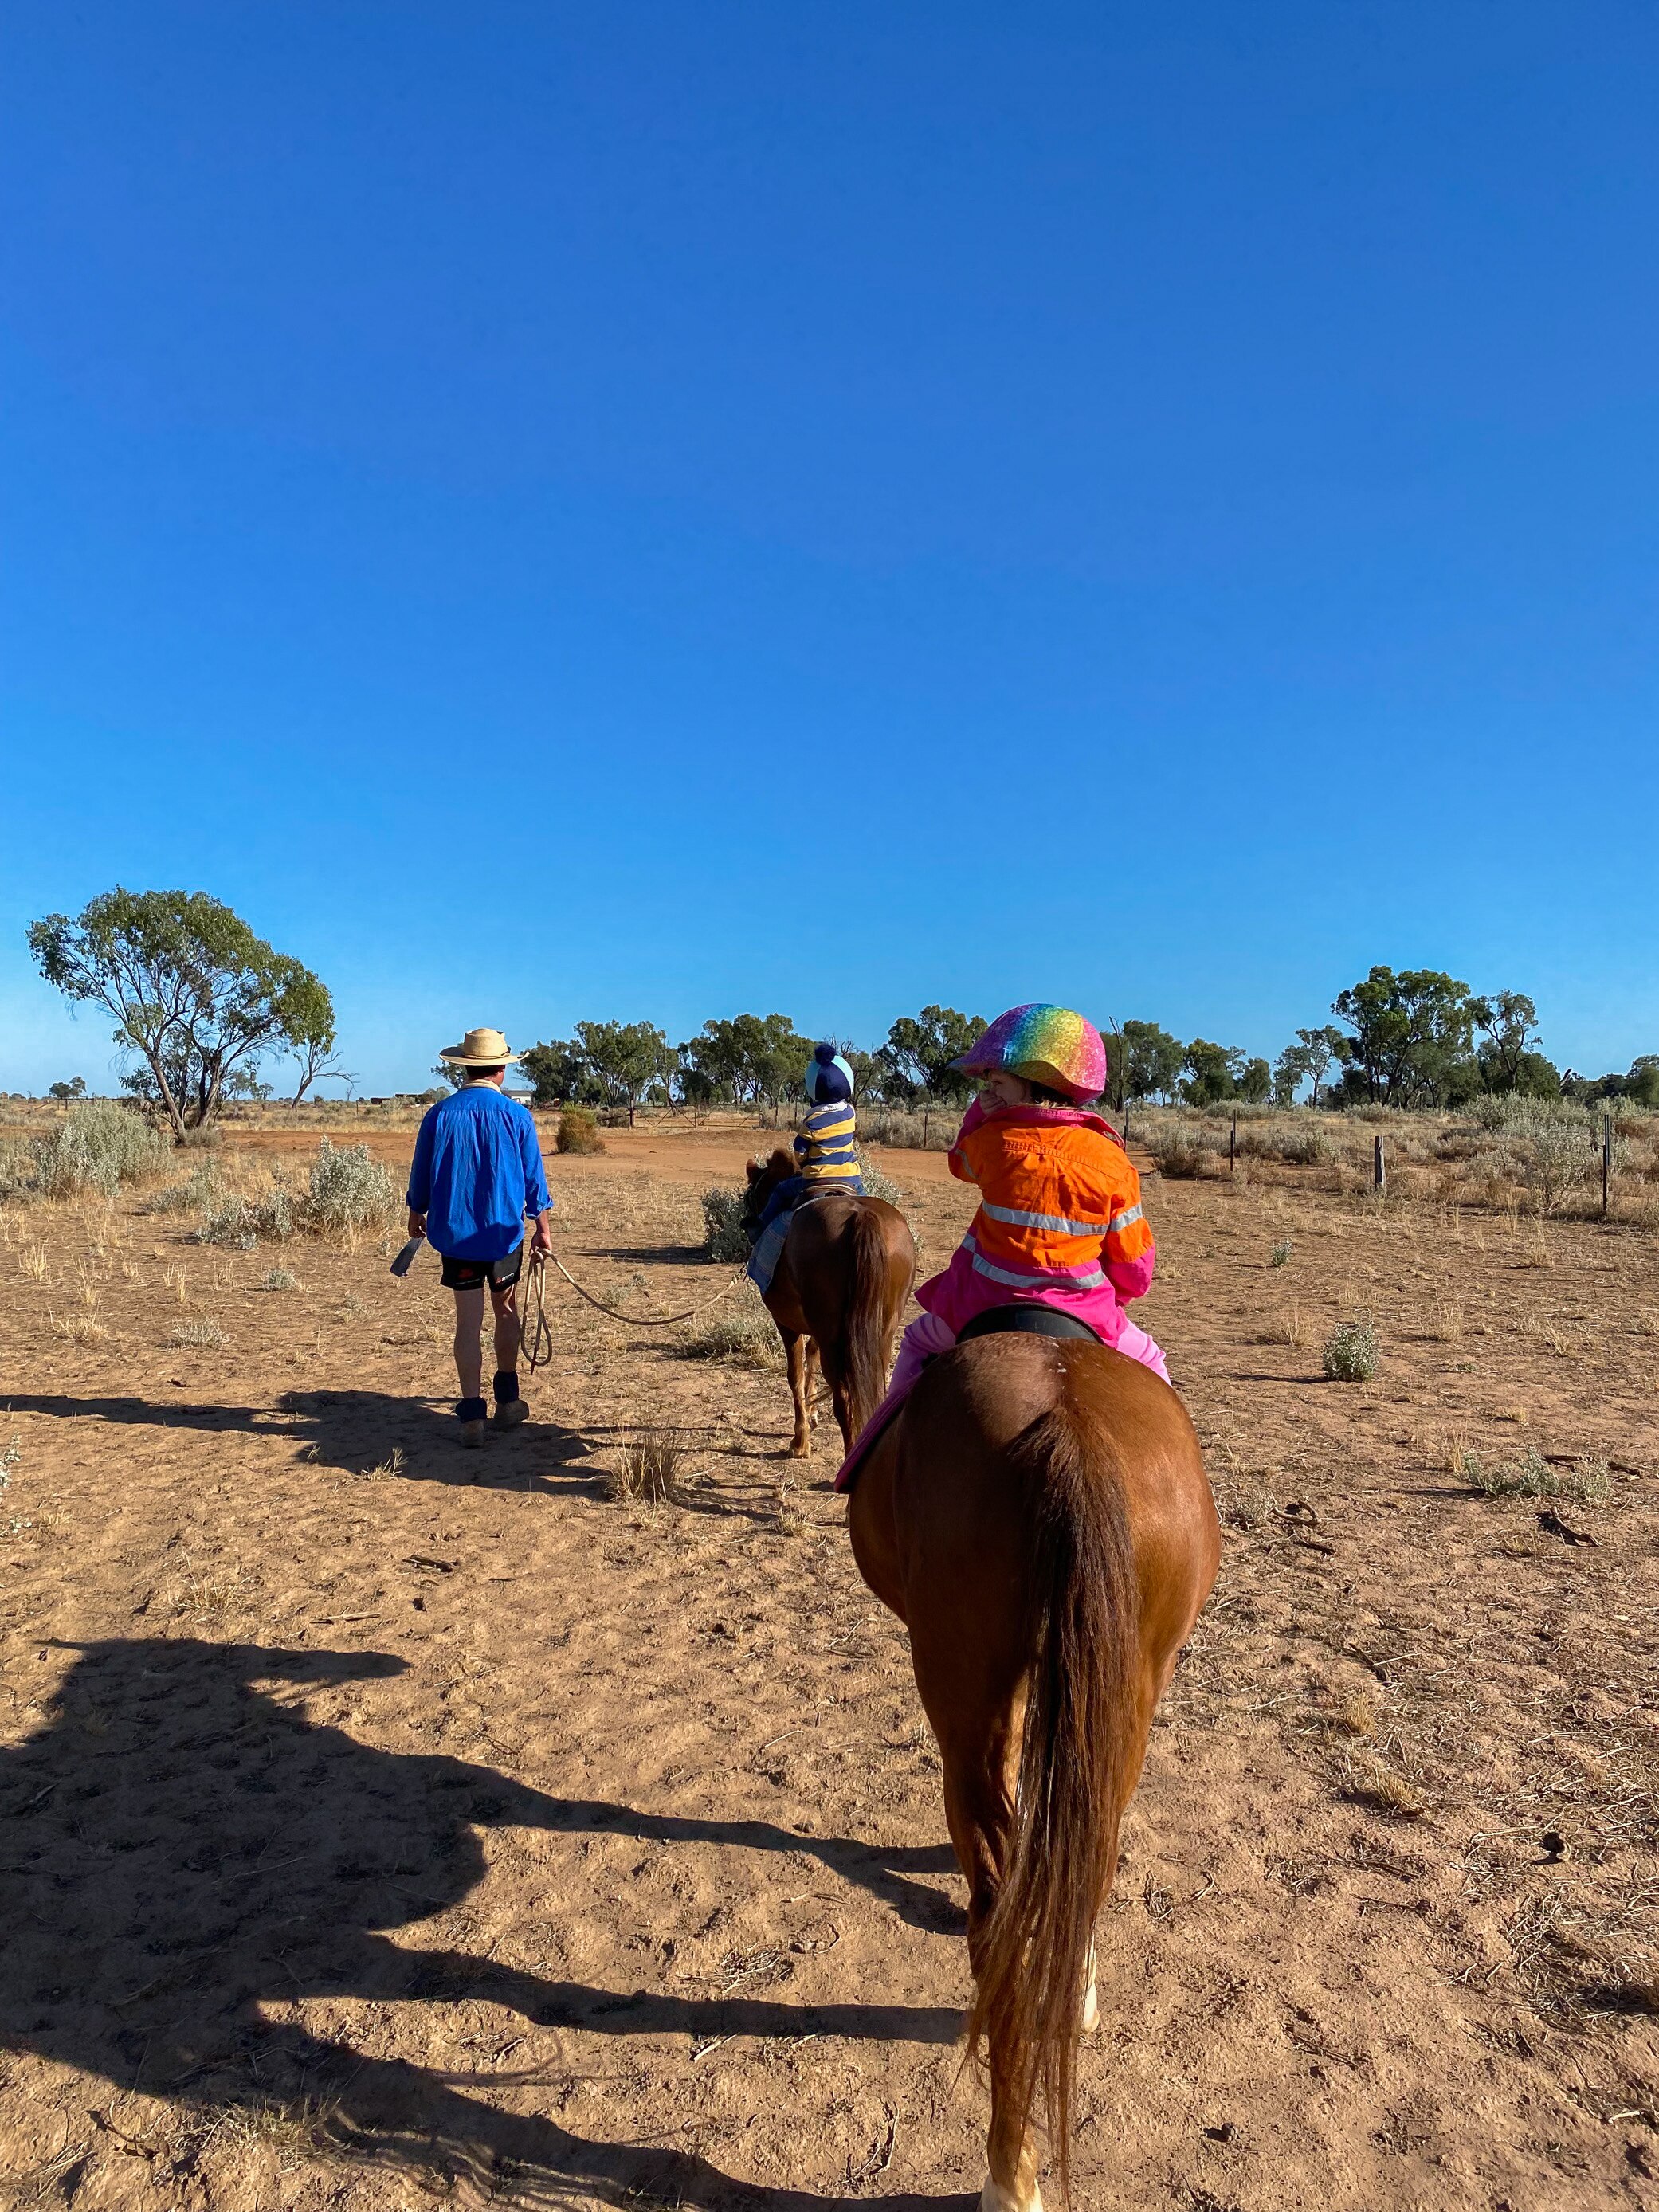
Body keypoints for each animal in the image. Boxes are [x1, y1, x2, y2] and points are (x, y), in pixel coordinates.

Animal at [742, 1148, 916, 1458]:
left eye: (754, 1193)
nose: (747, 1224)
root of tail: (862, 1218)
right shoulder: (818, 1330)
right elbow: (811, 1356)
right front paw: (812, 1414)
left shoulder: (786, 1323)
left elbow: (795, 1375)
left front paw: (800, 1441)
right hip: (880, 1331)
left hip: (835, 1337)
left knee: (845, 1399)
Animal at [846, 1322, 1220, 2211]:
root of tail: (1066, 1425)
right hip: (1131, 1688)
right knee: (1087, 1868)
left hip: (964, 1687)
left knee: (998, 1920)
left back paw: (1009, 2175)